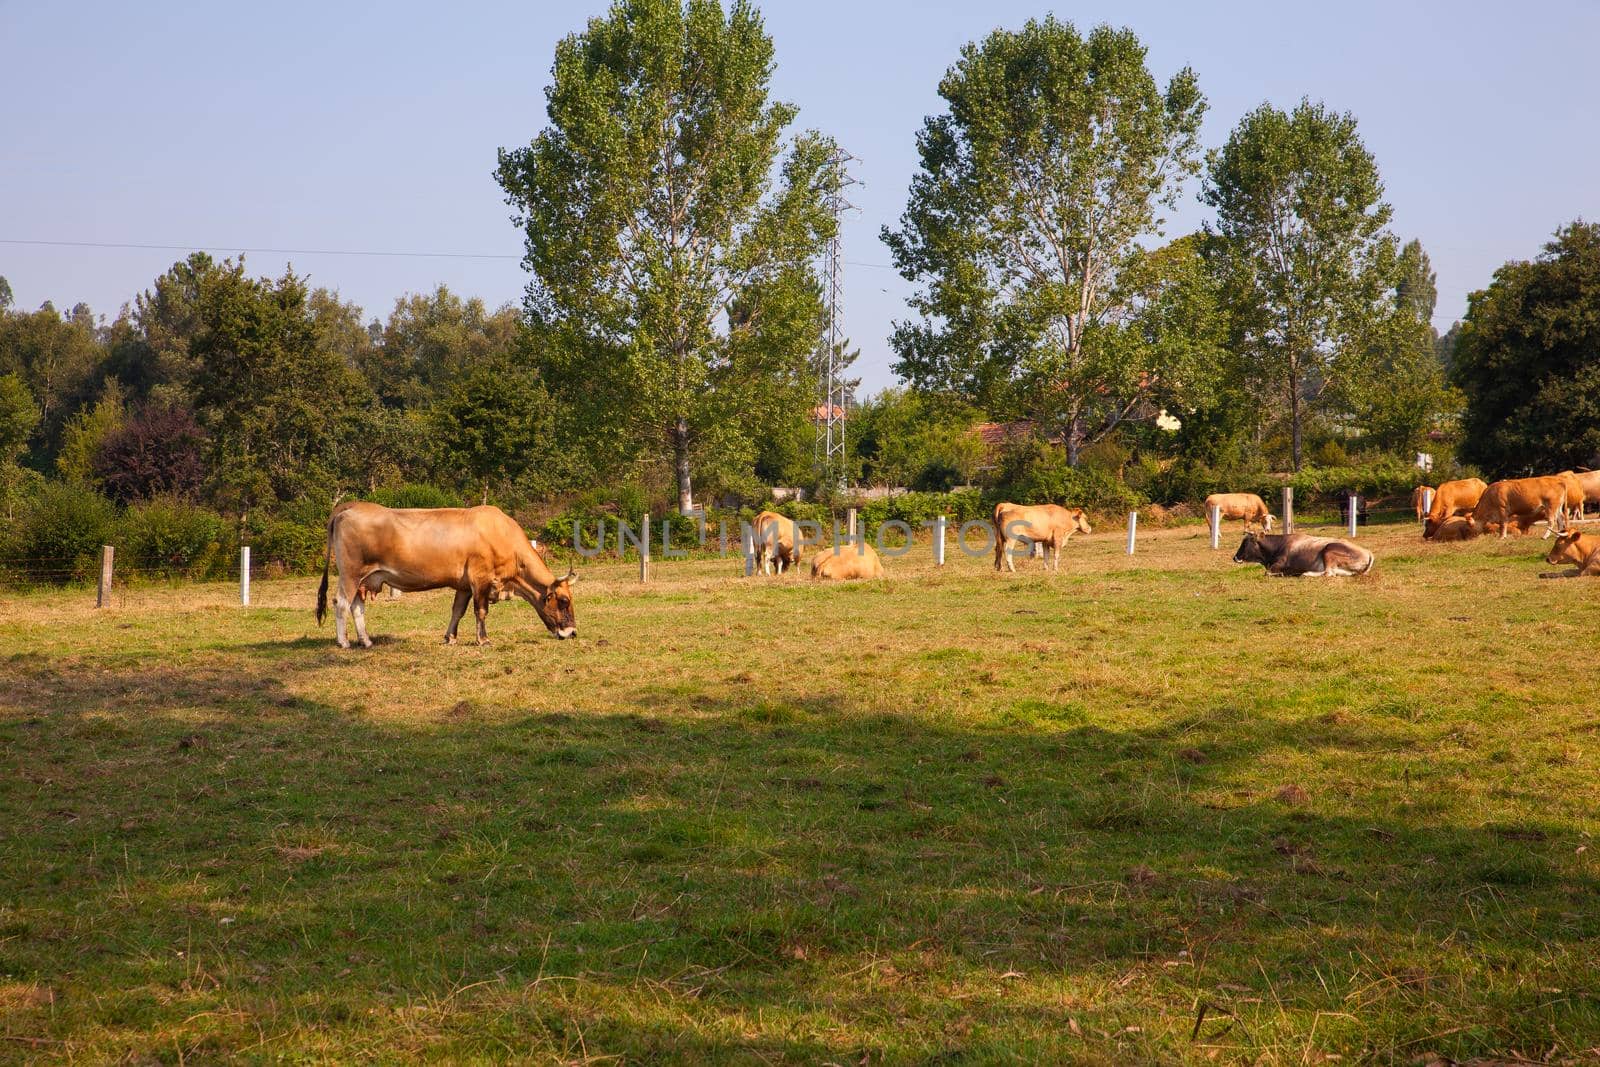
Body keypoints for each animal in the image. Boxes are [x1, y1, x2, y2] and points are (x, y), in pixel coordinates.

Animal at [312, 502, 576, 646]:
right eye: (564, 601)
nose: (572, 632)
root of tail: (353, 506)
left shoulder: (463, 585)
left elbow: (457, 611)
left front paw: (450, 637)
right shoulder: (480, 579)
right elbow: (481, 611)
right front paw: (483, 640)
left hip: (364, 579)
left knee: (357, 607)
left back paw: (365, 640)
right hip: (350, 574)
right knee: (341, 603)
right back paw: (344, 641)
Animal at [1235, 531, 1376, 579]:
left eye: (1246, 543)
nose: (1235, 557)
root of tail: (1367, 552)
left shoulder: (1277, 565)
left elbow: (1267, 573)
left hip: (1329, 549)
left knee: (1328, 573)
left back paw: (1305, 573)